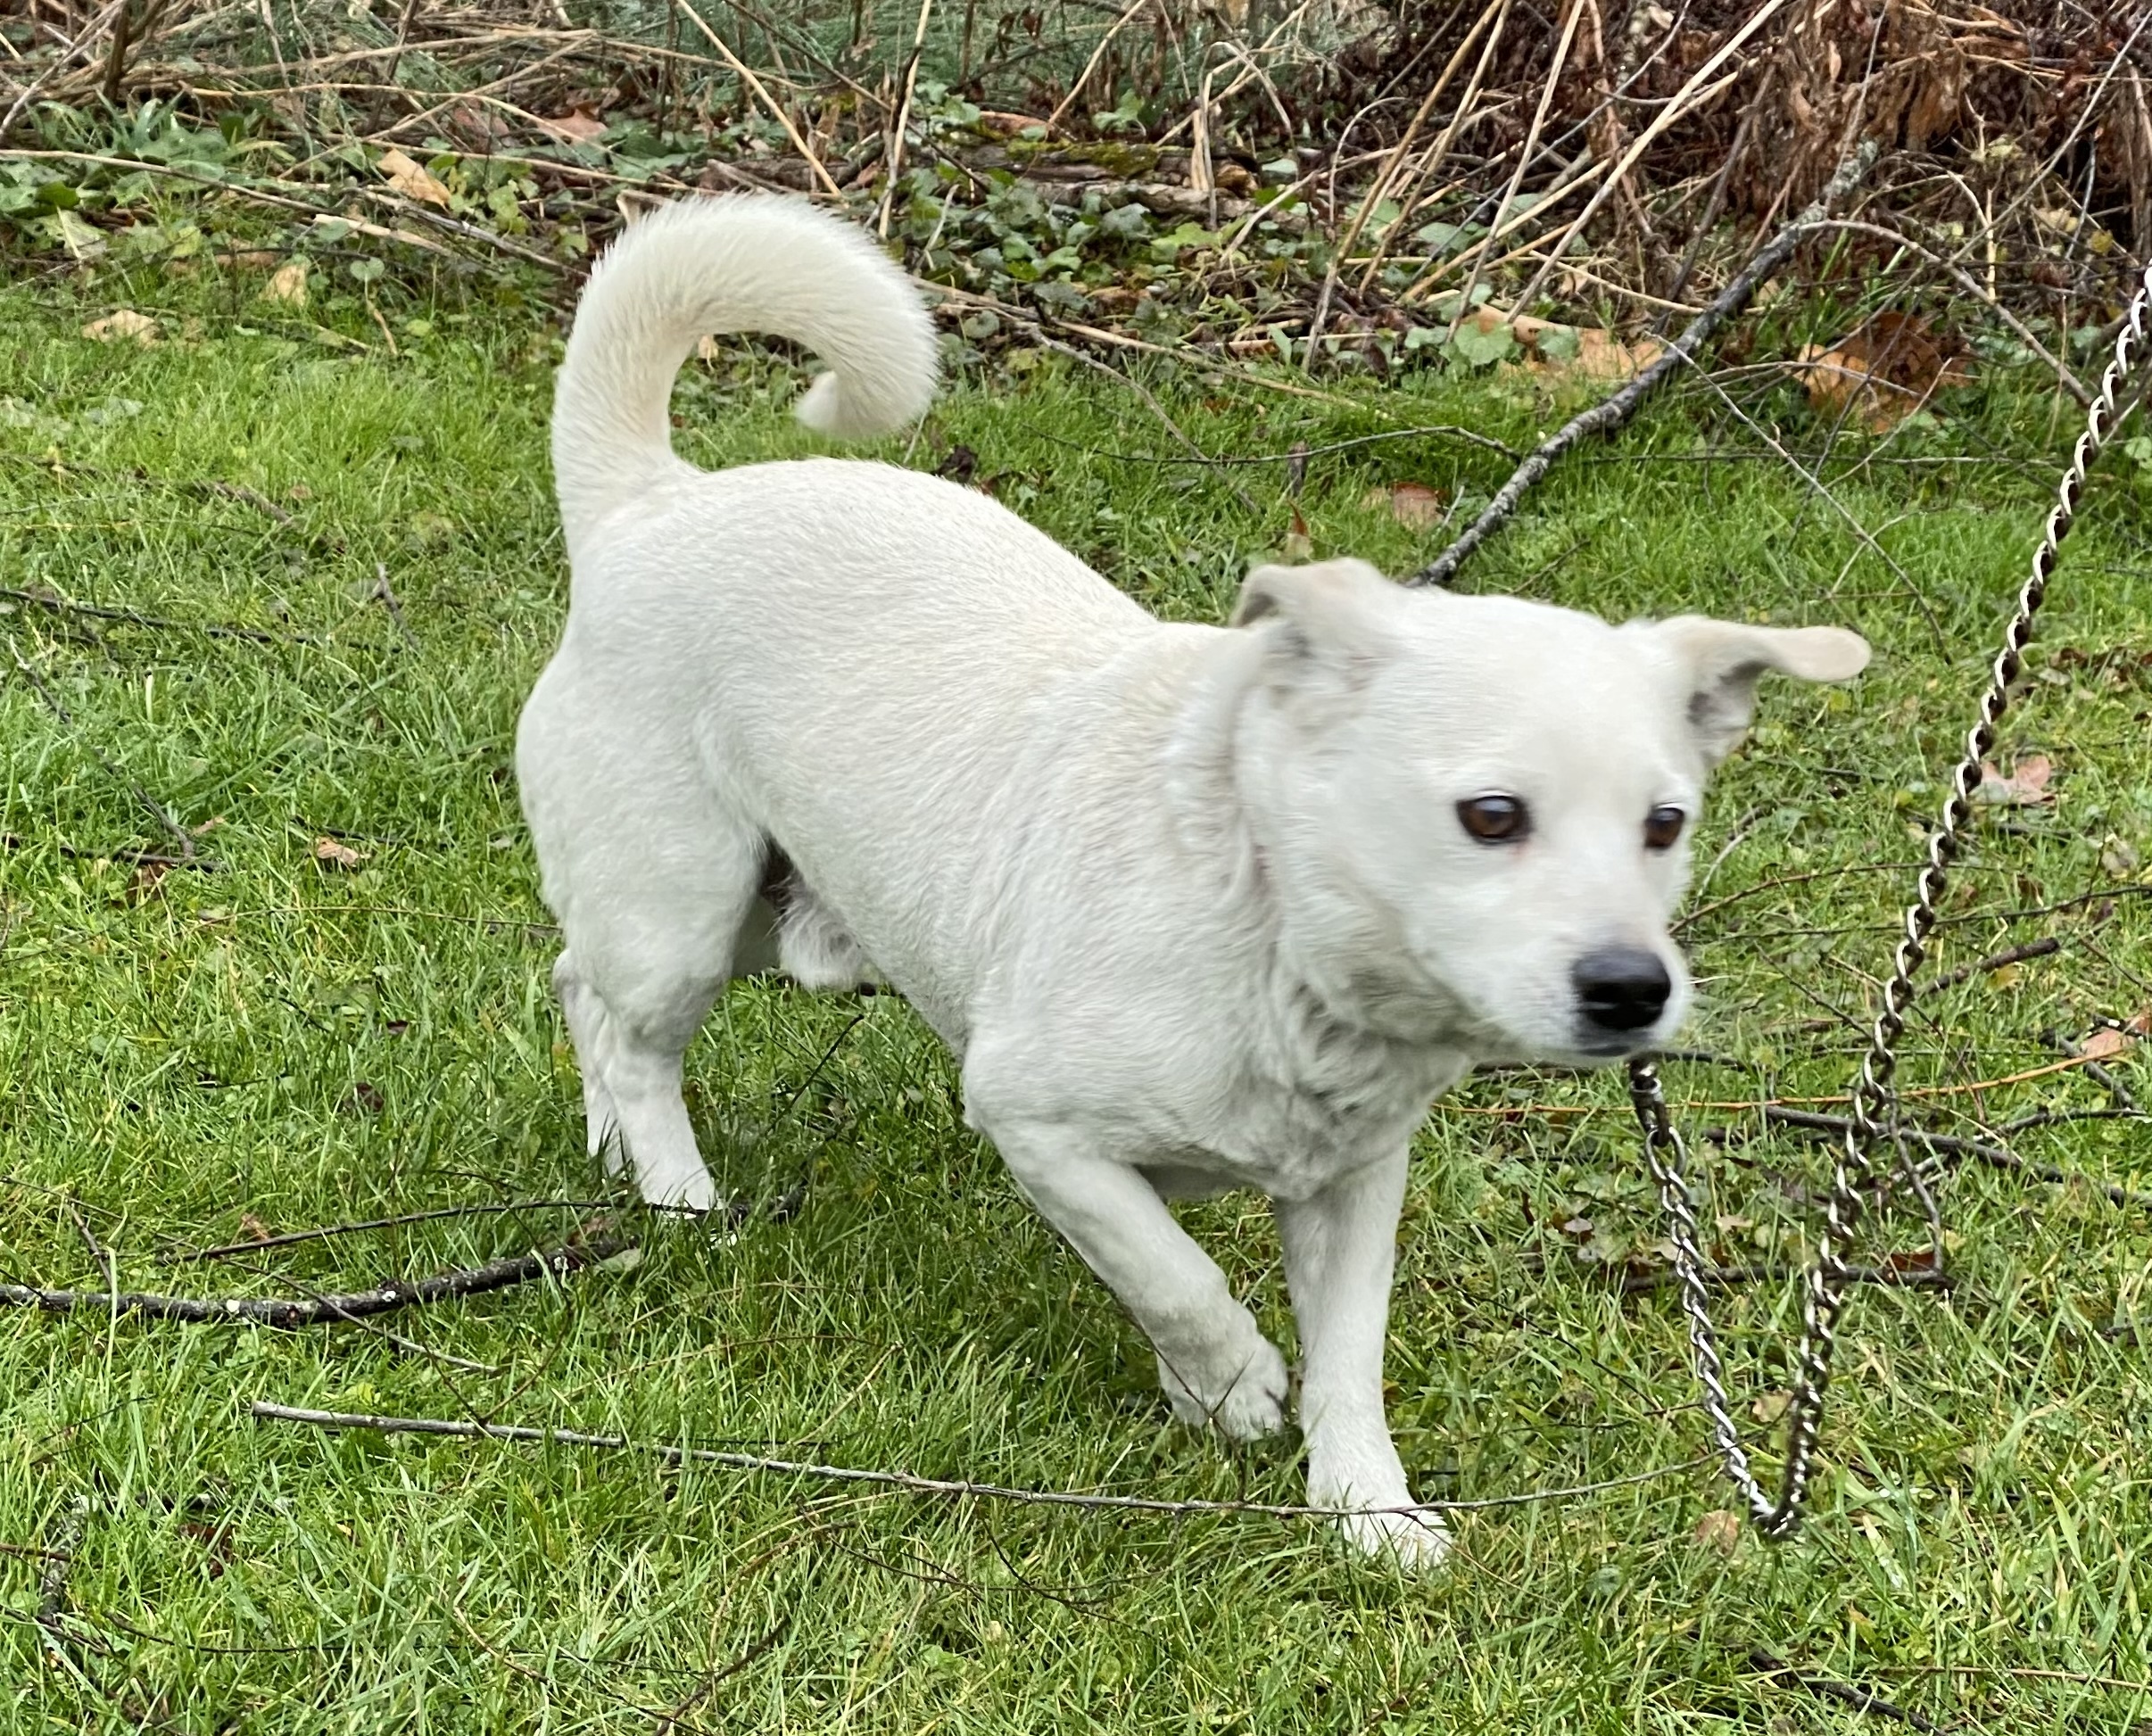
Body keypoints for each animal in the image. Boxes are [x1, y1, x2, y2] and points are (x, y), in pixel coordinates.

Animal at [516, 196, 1867, 1566]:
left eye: (1666, 822)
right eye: (1491, 816)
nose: (1632, 989)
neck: (1273, 931)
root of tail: (651, 505)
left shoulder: (1354, 1185)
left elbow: (1347, 1356)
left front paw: (1365, 1506)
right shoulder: (1035, 1124)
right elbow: (1177, 1275)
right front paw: (1228, 1384)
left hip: (770, 902)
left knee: (580, 982)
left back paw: (611, 1150)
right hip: (686, 907)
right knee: (639, 1040)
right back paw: (678, 1196)